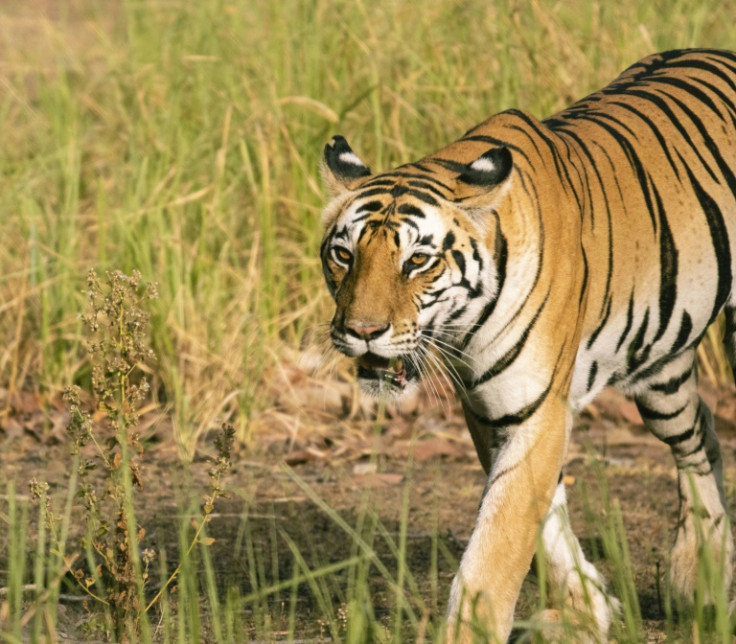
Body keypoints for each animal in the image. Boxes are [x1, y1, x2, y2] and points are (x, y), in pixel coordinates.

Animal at [320, 47, 736, 640]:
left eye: (417, 261)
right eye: (344, 255)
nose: (362, 331)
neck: (464, 328)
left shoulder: (535, 408)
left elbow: (499, 541)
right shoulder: (490, 411)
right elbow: (540, 520)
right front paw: (587, 610)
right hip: (661, 363)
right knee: (699, 436)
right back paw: (697, 578)